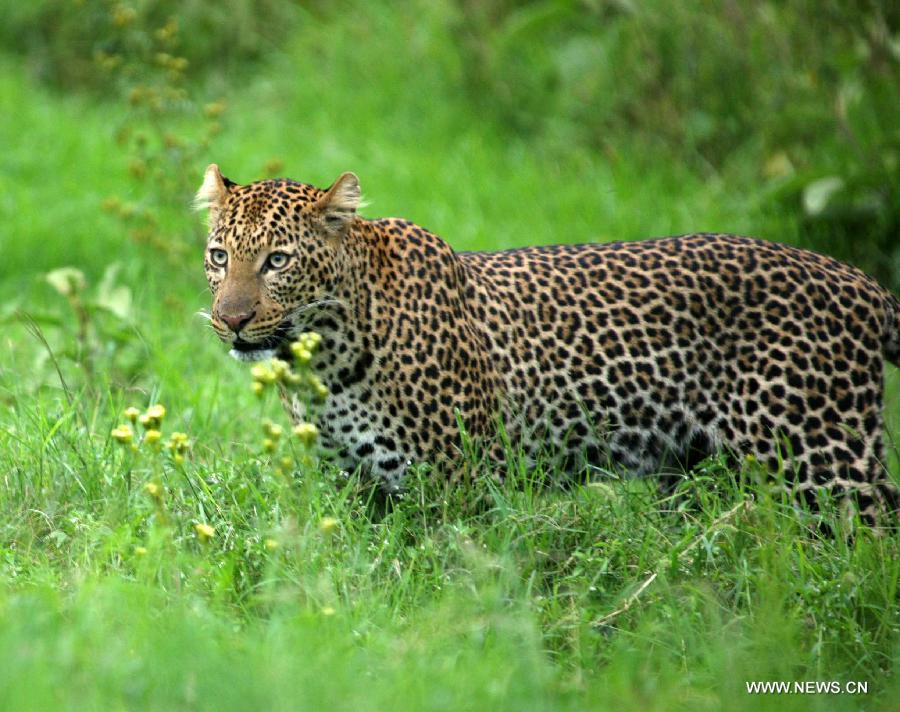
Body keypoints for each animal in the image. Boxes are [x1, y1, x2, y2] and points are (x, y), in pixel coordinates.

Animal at [199, 165, 900, 524]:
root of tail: (862, 281)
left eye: (278, 260)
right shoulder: (356, 489)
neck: (323, 361)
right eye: (219, 256)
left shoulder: (456, 484)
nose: (231, 320)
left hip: (823, 462)